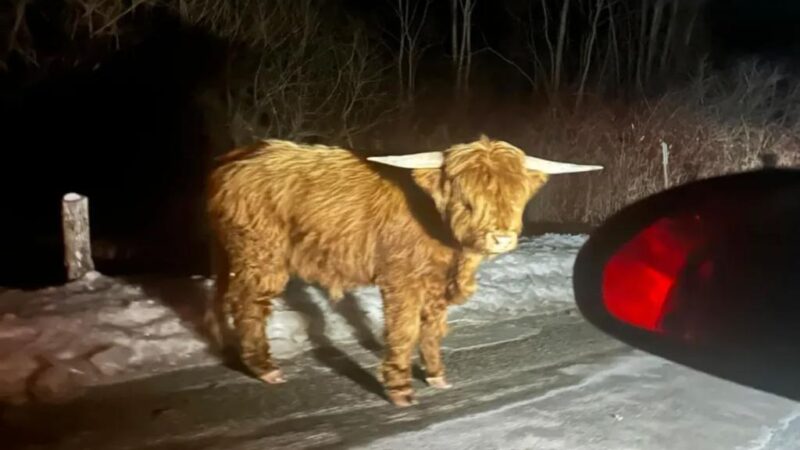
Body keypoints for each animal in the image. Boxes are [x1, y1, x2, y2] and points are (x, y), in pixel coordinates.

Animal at [206, 135, 600, 406]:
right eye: (467, 199)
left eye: (516, 197)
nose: (501, 237)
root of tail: (235, 159)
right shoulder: (402, 278)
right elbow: (404, 328)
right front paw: (399, 389)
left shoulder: (436, 282)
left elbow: (433, 328)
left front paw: (436, 375)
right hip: (261, 252)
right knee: (249, 305)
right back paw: (265, 368)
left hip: (233, 254)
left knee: (222, 297)